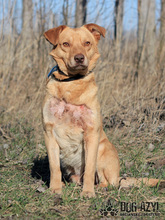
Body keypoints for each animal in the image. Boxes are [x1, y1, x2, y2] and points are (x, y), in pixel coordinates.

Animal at [42, 23, 164, 197]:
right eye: (65, 44)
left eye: (87, 43)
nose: (79, 58)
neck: (72, 83)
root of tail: (119, 176)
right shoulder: (49, 133)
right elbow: (54, 167)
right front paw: (55, 188)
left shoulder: (92, 133)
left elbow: (89, 168)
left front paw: (88, 192)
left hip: (102, 149)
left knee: (109, 182)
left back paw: (99, 187)